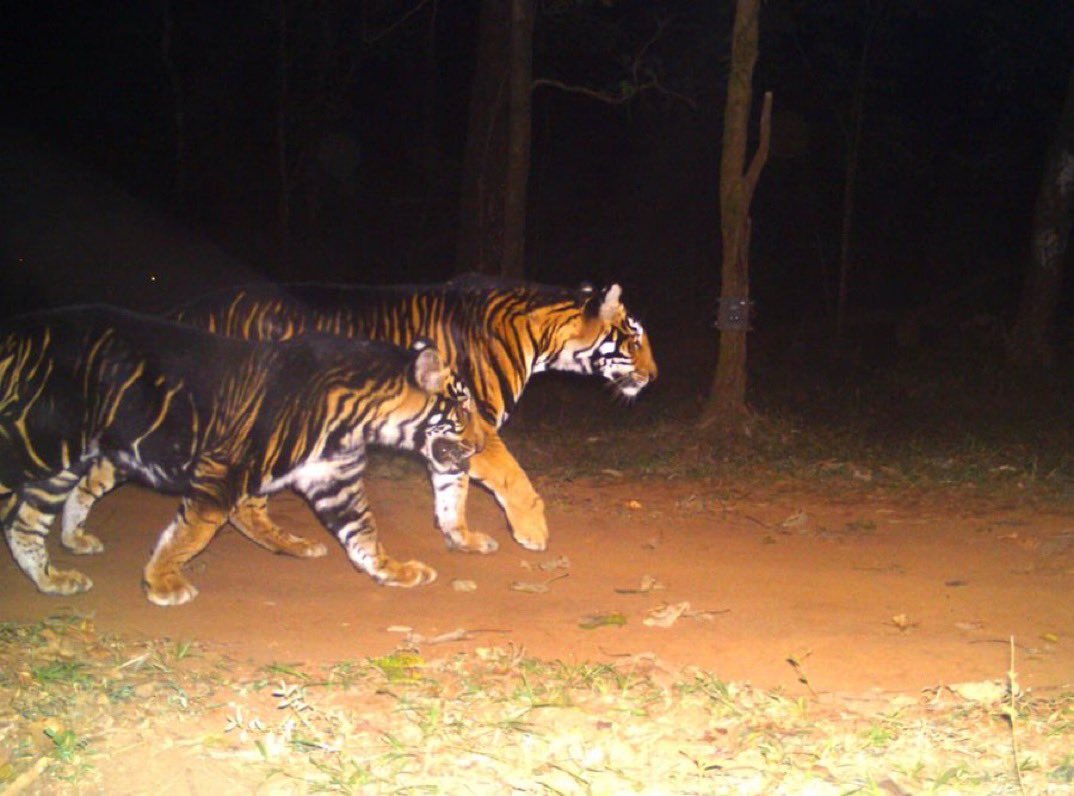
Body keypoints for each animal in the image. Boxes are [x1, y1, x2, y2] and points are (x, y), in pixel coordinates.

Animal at [0, 305, 482, 605]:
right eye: (463, 409)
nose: (480, 444)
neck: (362, 418)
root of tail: (16, 330)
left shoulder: (332, 479)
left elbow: (362, 533)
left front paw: (395, 571)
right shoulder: (222, 471)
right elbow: (191, 533)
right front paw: (161, 584)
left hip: (65, 464)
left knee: (27, 524)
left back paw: (53, 579)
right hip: (36, 445)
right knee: (22, 516)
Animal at [63, 274, 657, 560]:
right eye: (634, 339)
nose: (654, 377)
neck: (540, 333)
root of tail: (186, 310)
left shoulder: (451, 433)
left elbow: (452, 492)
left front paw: (461, 539)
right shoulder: (477, 422)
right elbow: (510, 475)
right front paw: (533, 532)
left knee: (103, 475)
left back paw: (73, 541)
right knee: (239, 501)